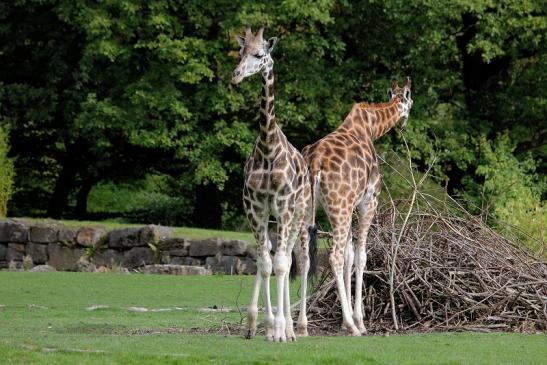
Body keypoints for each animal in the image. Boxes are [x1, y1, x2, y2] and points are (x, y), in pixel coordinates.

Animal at [233, 26, 314, 342]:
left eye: (260, 55)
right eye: (239, 52)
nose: (236, 76)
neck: (268, 148)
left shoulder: (284, 207)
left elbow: (281, 264)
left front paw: (280, 330)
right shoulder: (255, 207)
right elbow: (266, 263)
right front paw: (266, 327)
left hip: (300, 216)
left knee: (296, 260)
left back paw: (296, 327)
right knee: (272, 255)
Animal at [302, 78, 414, 334]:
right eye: (411, 99)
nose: (404, 123)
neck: (371, 127)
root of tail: (314, 163)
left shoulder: (350, 205)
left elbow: (349, 255)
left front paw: (347, 321)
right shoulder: (367, 201)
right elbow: (361, 256)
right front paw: (358, 321)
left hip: (303, 208)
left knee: (301, 255)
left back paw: (298, 326)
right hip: (339, 207)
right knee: (333, 256)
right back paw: (353, 327)